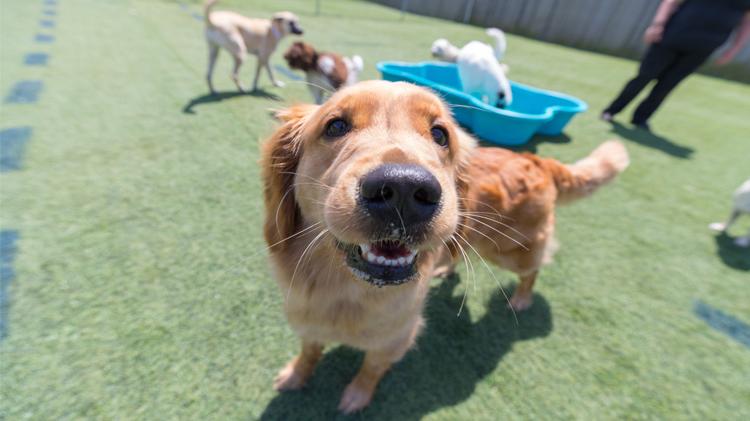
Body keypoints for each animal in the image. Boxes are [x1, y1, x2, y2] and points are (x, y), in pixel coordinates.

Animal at [262, 80, 632, 412]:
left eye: (440, 134)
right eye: (335, 125)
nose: (403, 188)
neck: (345, 291)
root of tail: (536, 159)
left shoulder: (396, 337)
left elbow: (370, 370)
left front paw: (357, 397)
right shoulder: (308, 320)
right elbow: (309, 352)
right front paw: (296, 375)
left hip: (510, 251)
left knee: (533, 269)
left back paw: (522, 298)